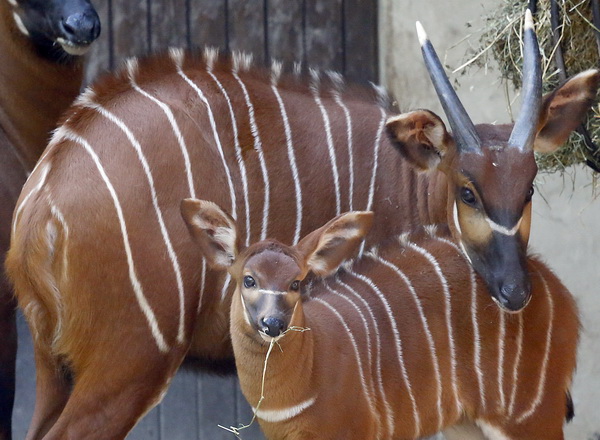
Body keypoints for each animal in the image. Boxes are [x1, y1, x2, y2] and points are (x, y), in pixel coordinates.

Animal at [182, 199, 576, 440]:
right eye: (248, 279)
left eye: (296, 282)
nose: (273, 323)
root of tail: (556, 290)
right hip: (468, 423)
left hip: (530, 416)